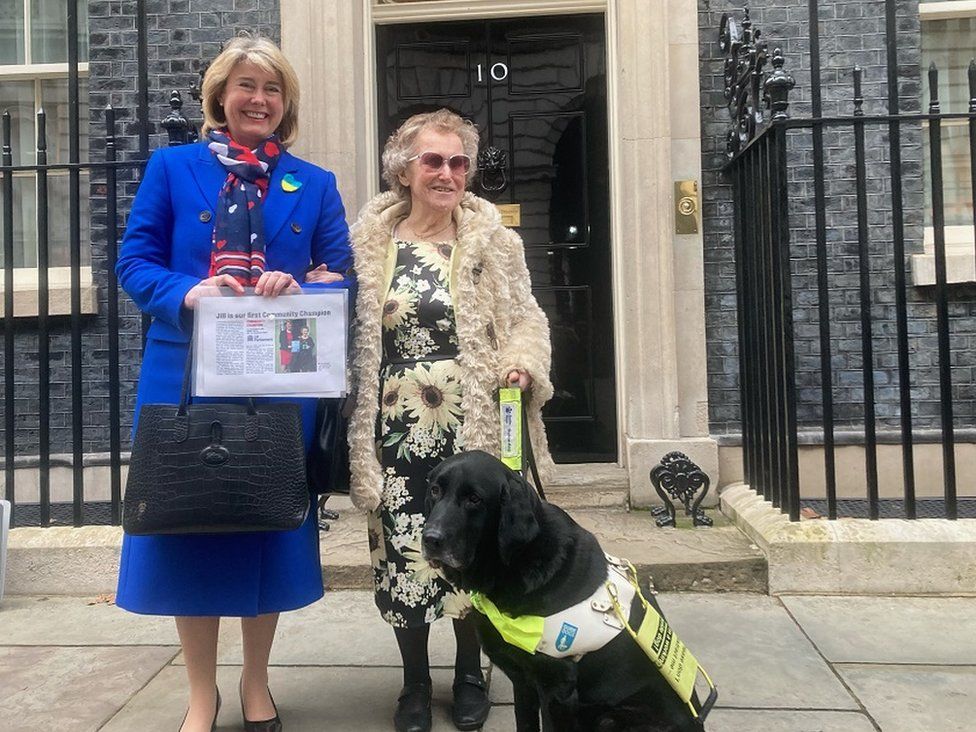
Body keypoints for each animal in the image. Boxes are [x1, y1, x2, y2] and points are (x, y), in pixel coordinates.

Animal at [424, 452, 712, 732]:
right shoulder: (523, 682)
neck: (518, 562)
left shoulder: (556, 689)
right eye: (435, 490)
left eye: (474, 499)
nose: (430, 539)